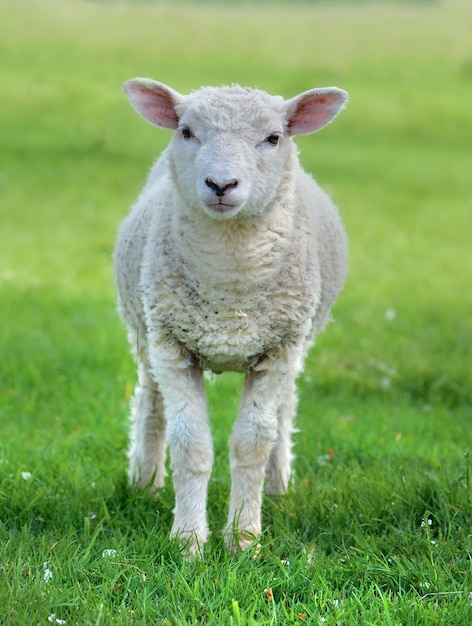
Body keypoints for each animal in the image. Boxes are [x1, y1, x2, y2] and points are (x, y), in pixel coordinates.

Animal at [114, 79, 348, 556]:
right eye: (186, 131)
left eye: (274, 138)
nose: (221, 184)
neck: (229, 282)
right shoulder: (172, 344)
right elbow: (191, 445)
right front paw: (188, 542)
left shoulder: (279, 347)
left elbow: (252, 443)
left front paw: (244, 539)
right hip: (145, 334)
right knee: (151, 404)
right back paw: (144, 485)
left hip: (296, 344)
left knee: (284, 412)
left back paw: (278, 489)